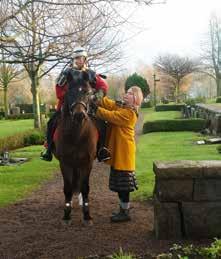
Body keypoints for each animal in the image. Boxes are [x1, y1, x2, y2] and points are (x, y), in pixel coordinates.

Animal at [52, 71, 97, 223]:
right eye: (69, 92)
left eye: (88, 92)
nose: (79, 115)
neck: (76, 136)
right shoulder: (65, 163)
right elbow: (67, 187)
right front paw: (67, 214)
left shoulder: (87, 163)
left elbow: (85, 187)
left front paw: (87, 215)